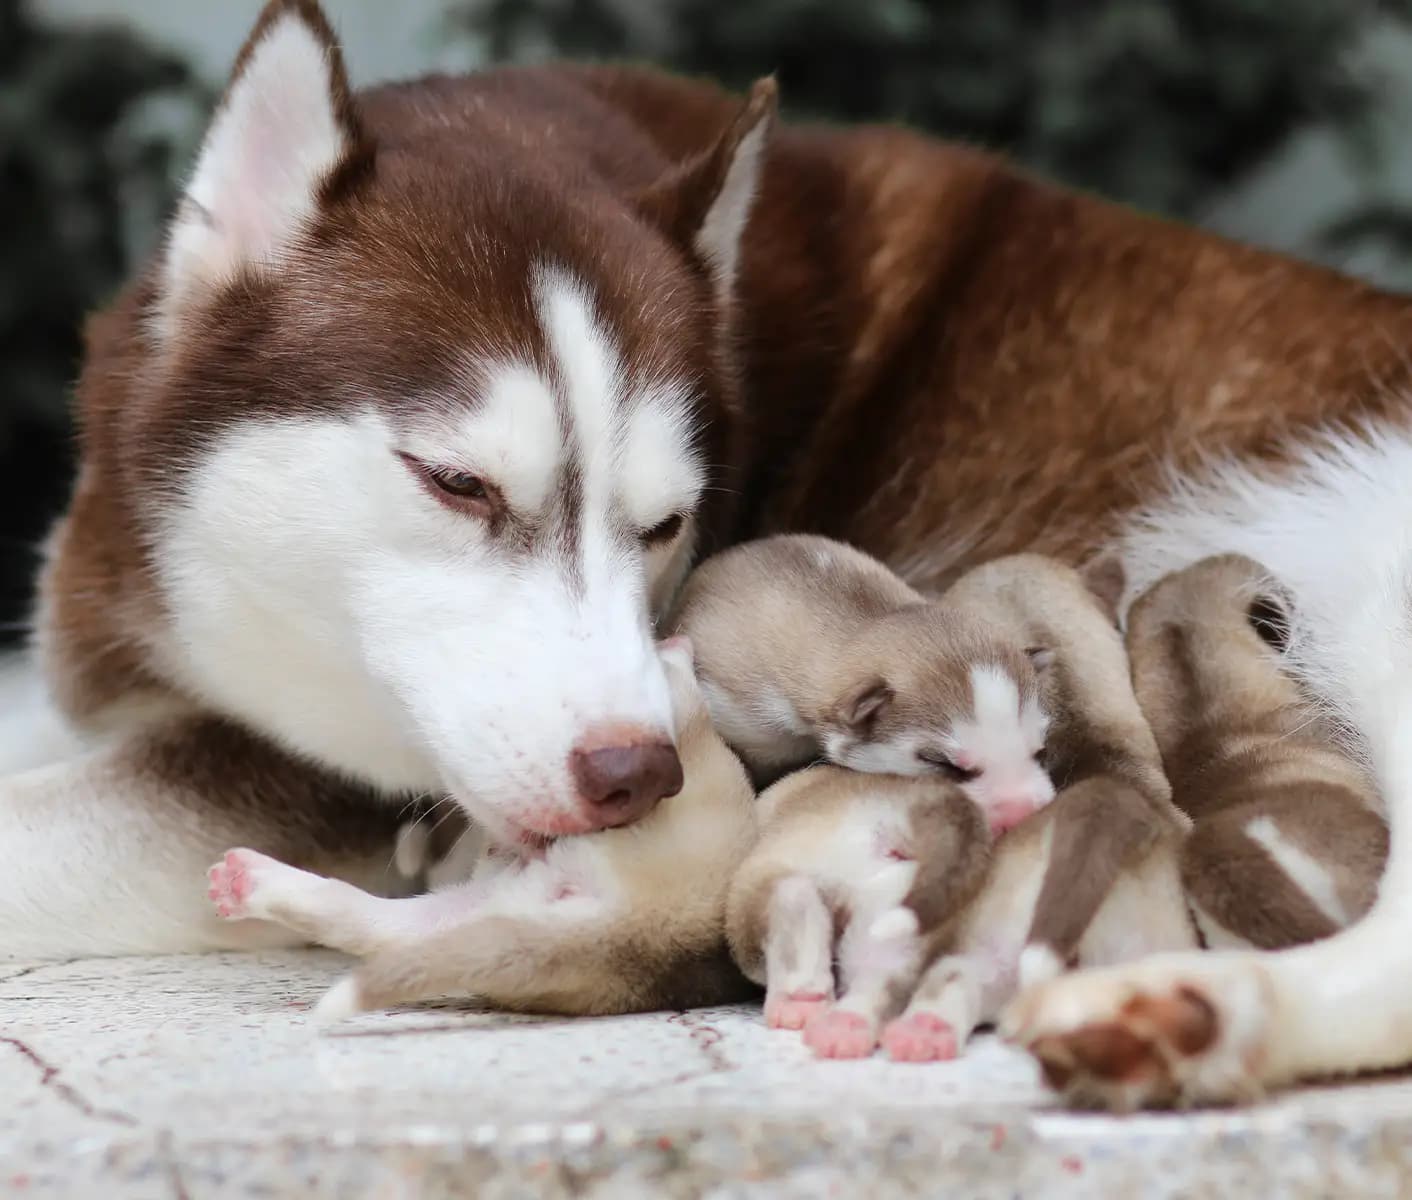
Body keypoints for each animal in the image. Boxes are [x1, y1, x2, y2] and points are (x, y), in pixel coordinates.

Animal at [728, 762, 994, 1050]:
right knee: (881, 973)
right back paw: (845, 1028)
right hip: (899, 905)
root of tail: (904, 801)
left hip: (766, 881)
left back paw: (798, 1003)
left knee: (793, 898)